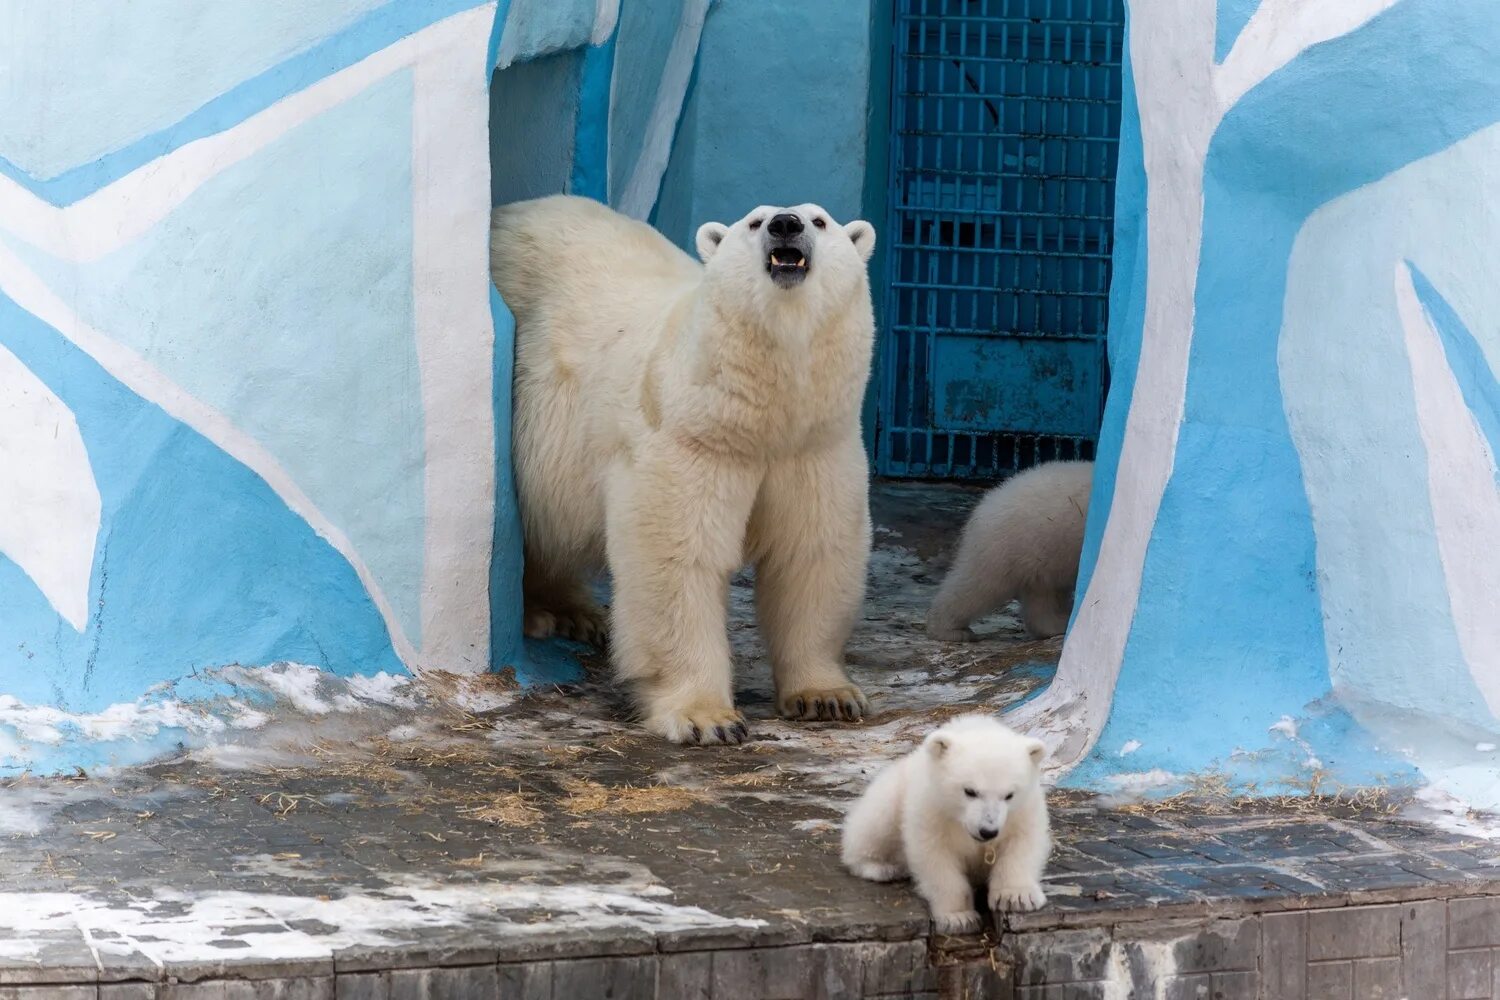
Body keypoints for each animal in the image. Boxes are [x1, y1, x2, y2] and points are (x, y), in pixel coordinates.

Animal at [489, 197, 876, 743]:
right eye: (755, 221)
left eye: (820, 220)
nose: (786, 224)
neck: (760, 418)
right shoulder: (689, 439)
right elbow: (677, 559)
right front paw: (705, 718)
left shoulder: (815, 446)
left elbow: (812, 554)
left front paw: (827, 696)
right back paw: (548, 613)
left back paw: (578, 612)